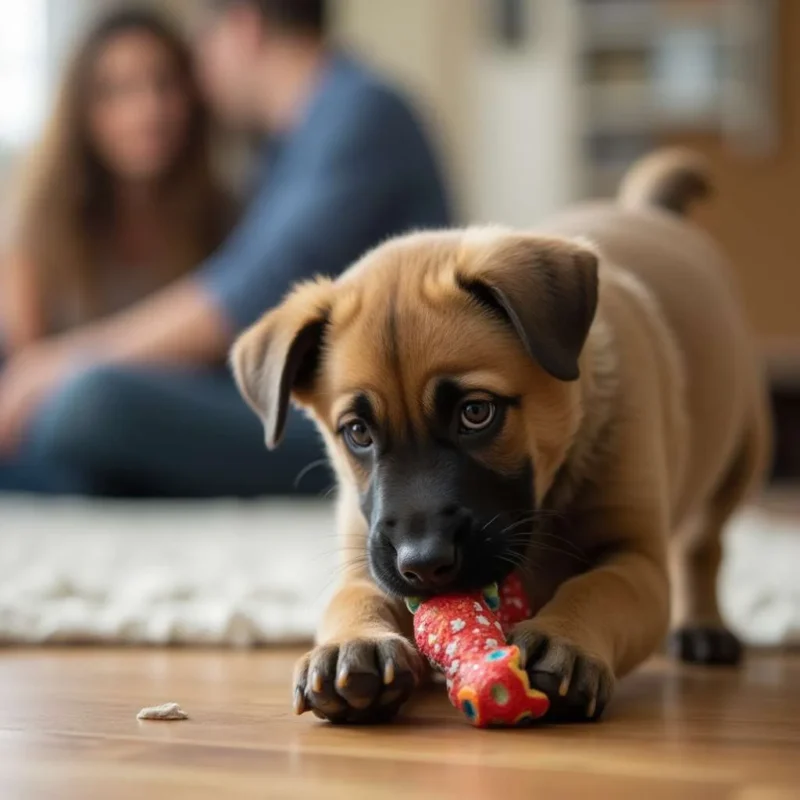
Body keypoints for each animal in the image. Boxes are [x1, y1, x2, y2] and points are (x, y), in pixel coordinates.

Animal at [234, 150, 772, 724]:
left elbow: (598, 587)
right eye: (358, 433)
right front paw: (354, 644)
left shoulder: (637, 560)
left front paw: (563, 639)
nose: (424, 565)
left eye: (476, 413)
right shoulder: (367, 554)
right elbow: (355, 596)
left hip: (742, 452)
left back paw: (704, 627)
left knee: (703, 545)